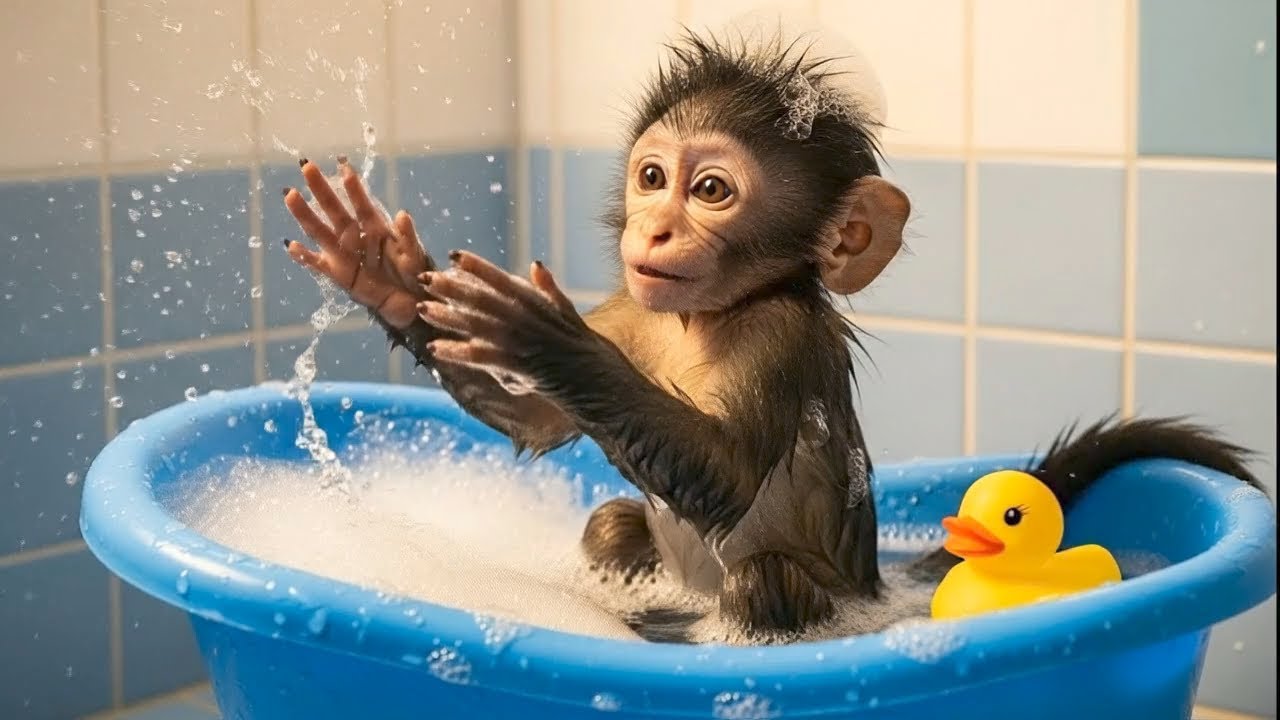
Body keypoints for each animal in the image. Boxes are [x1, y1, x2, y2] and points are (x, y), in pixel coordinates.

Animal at [279, 30, 1263, 642]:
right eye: (651, 177)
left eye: (710, 190)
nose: (655, 230)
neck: (700, 318)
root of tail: (884, 590)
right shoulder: (633, 306)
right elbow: (536, 423)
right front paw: (382, 271)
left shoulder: (779, 335)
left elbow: (732, 479)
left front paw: (544, 339)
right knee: (609, 523)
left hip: (821, 592)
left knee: (764, 578)